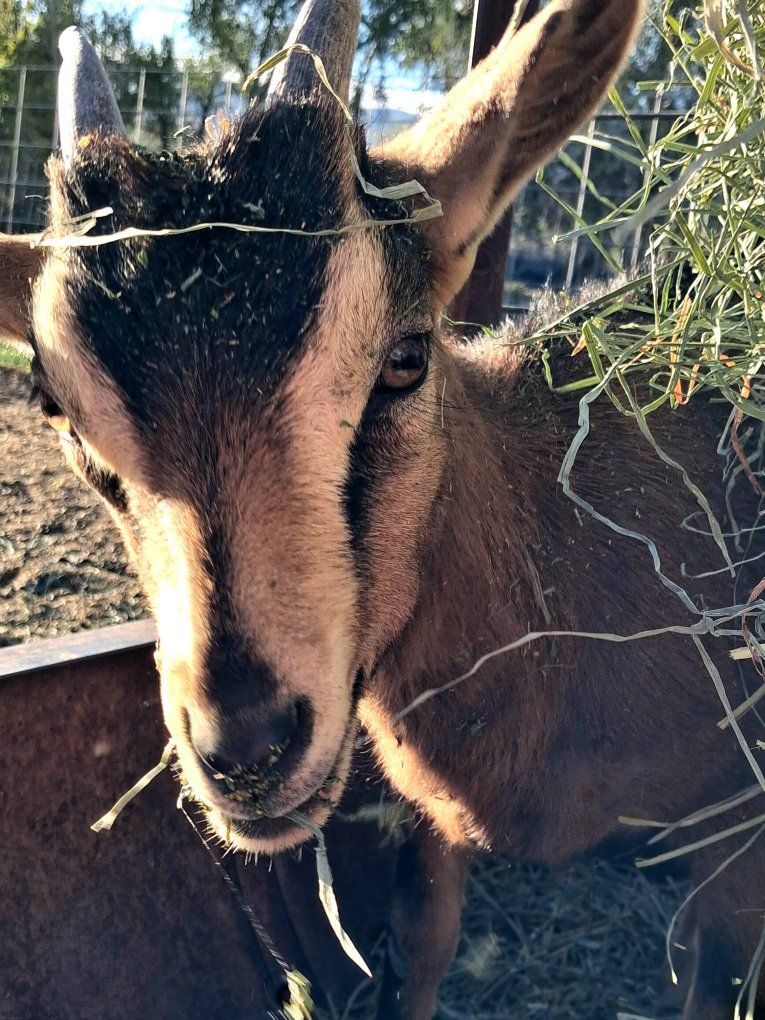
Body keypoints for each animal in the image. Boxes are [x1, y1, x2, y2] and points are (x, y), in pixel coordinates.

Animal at [2, 0, 764, 1015]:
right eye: (57, 410)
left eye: (404, 358)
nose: (247, 748)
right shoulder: (429, 815)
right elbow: (421, 943)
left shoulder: (737, 836)